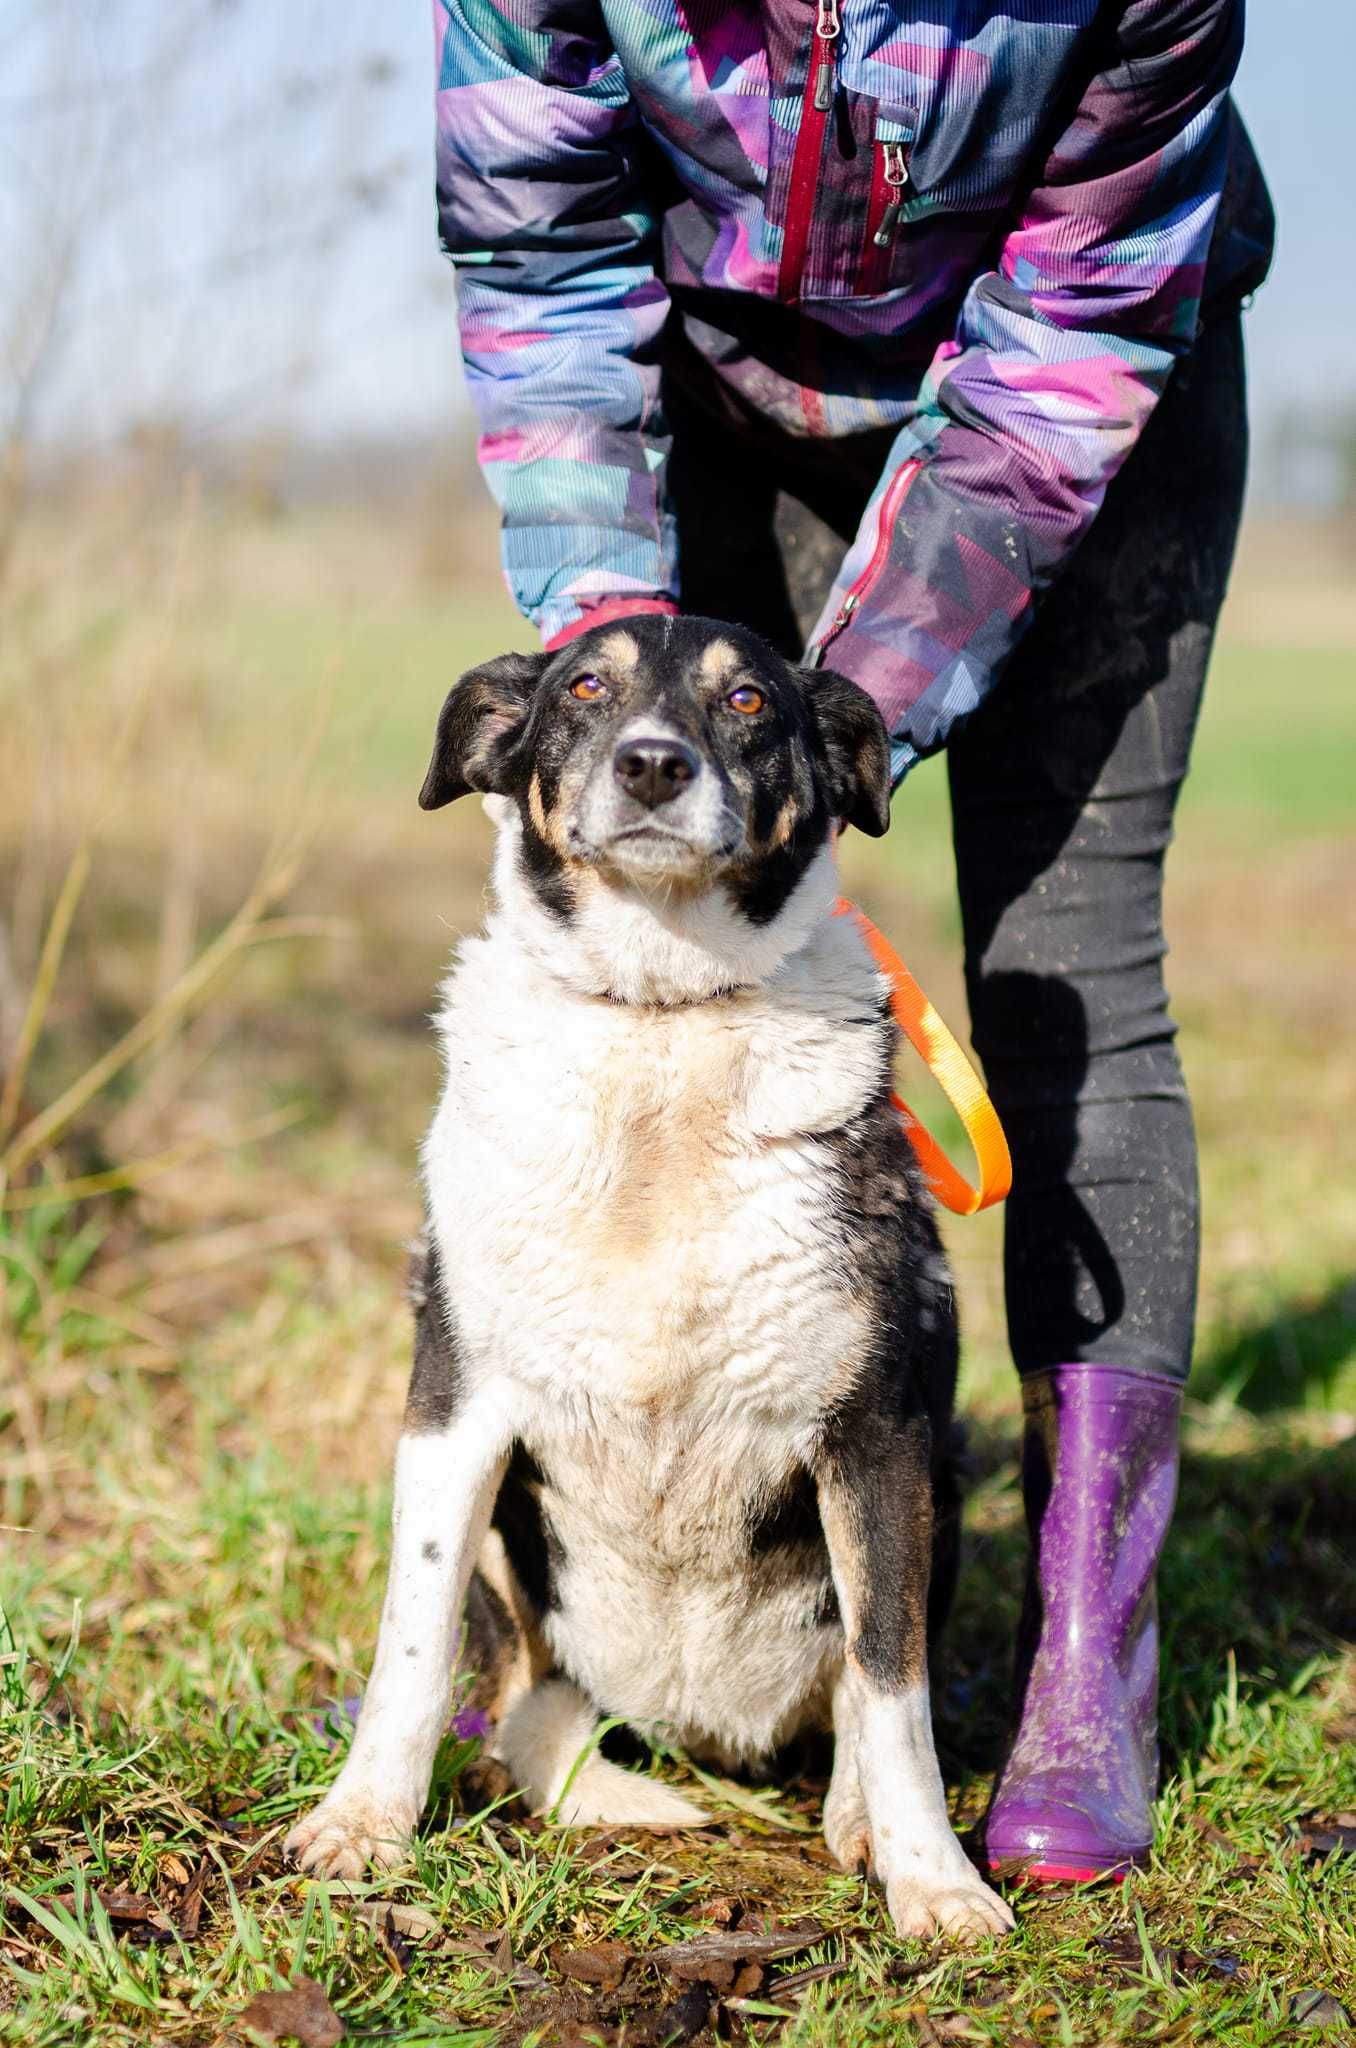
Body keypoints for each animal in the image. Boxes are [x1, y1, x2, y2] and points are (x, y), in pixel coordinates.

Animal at [292, 614, 1024, 1941]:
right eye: (587, 684)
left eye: (747, 700)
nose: (649, 765)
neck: (660, 1022)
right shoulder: (453, 1409)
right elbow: (411, 1643)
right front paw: (362, 1821)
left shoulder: (880, 1436)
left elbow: (892, 1683)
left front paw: (936, 1881)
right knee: (524, 1696)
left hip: (937, 1487)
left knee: (857, 1686)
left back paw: (853, 1813)